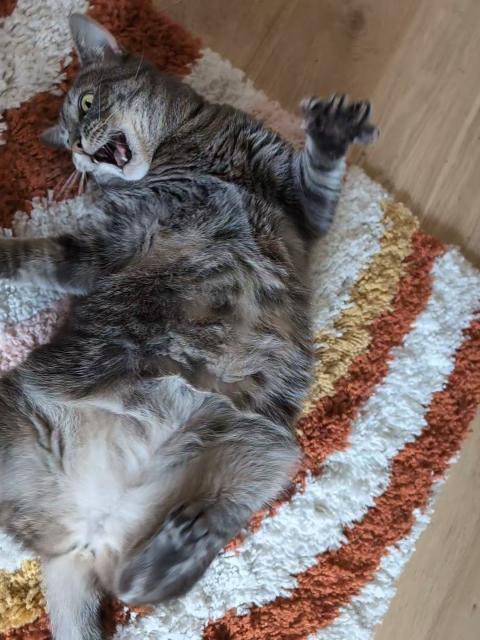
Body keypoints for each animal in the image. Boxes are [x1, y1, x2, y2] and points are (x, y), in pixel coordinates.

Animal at [0, 13, 376, 640]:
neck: (193, 151)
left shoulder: (299, 200)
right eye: (67, 128)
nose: (75, 148)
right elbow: (34, 255)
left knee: (141, 580)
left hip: (266, 450)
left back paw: (176, 543)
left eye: (86, 102)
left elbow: (321, 172)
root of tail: (90, 528)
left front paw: (329, 134)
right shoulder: (108, 244)